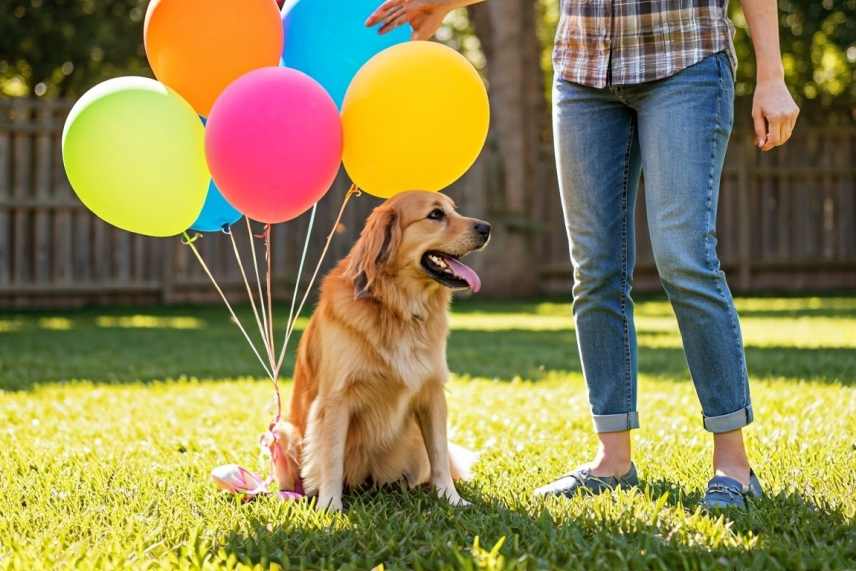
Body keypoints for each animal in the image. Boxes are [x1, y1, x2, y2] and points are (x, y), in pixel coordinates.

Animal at [270, 190, 492, 512]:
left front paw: (451, 498)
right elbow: (331, 458)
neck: (397, 307)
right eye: (435, 215)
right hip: (285, 433)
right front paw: (330, 506)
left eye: (454, 210)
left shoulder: (432, 394)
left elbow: (439, 454)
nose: (487, 227)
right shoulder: (335, 400)